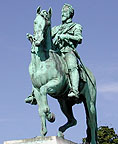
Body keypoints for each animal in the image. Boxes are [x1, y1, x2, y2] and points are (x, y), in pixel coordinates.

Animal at [25, 7, 97, 143]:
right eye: (35, 22)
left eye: (47, 23)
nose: (37, 40)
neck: (41, 62)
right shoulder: (36, 90)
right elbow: (40, 110)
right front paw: (43, 134)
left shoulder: (56, 84)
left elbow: (44, 94)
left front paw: (50, 115)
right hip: (64, 103)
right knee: (73, 120)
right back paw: (60, 133)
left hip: (90, 104)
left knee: (91, 122)